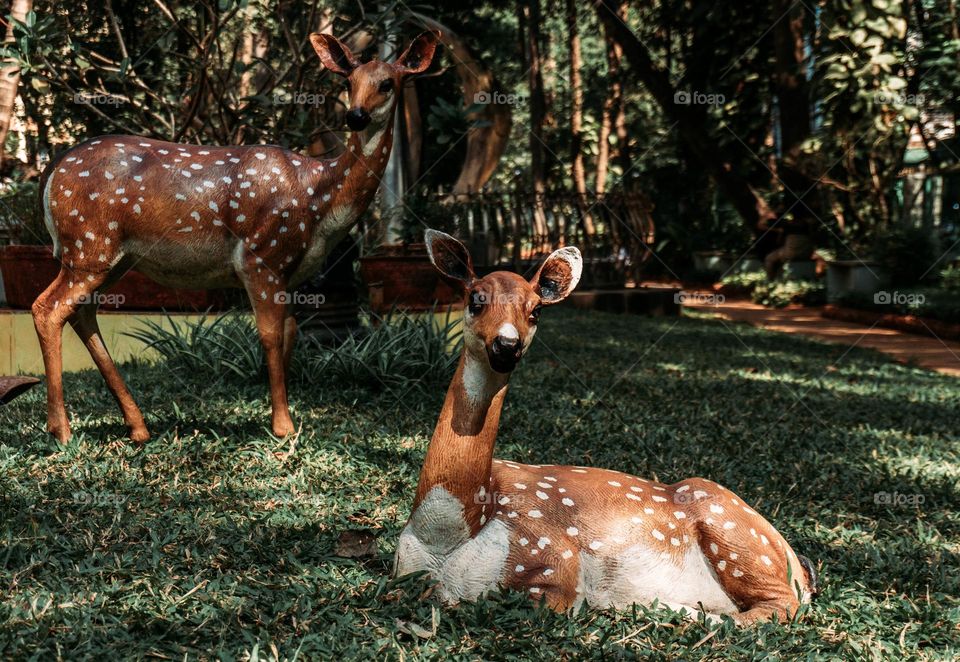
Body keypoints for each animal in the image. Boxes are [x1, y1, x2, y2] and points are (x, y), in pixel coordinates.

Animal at [31, 31, 439, 444]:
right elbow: (270, 335)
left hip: (110, 257)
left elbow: (291, 333)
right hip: (88, 245)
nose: (355, 116)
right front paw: (283, 427)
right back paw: (61, 429)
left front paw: (282, 417)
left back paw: (137, 426)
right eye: (348, 83)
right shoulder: (260, 255)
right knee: (47, 307)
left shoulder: (289, 272)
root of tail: (51, 173)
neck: (318, 196)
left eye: (387, 83)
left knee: (82, 312)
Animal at [394, 230, 820, 626]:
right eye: (475, 299)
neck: (449, 533)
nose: (507, 346)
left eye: (536, 311)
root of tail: (797, 563)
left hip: (734, 533)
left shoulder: (554, 556)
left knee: (779, 606)